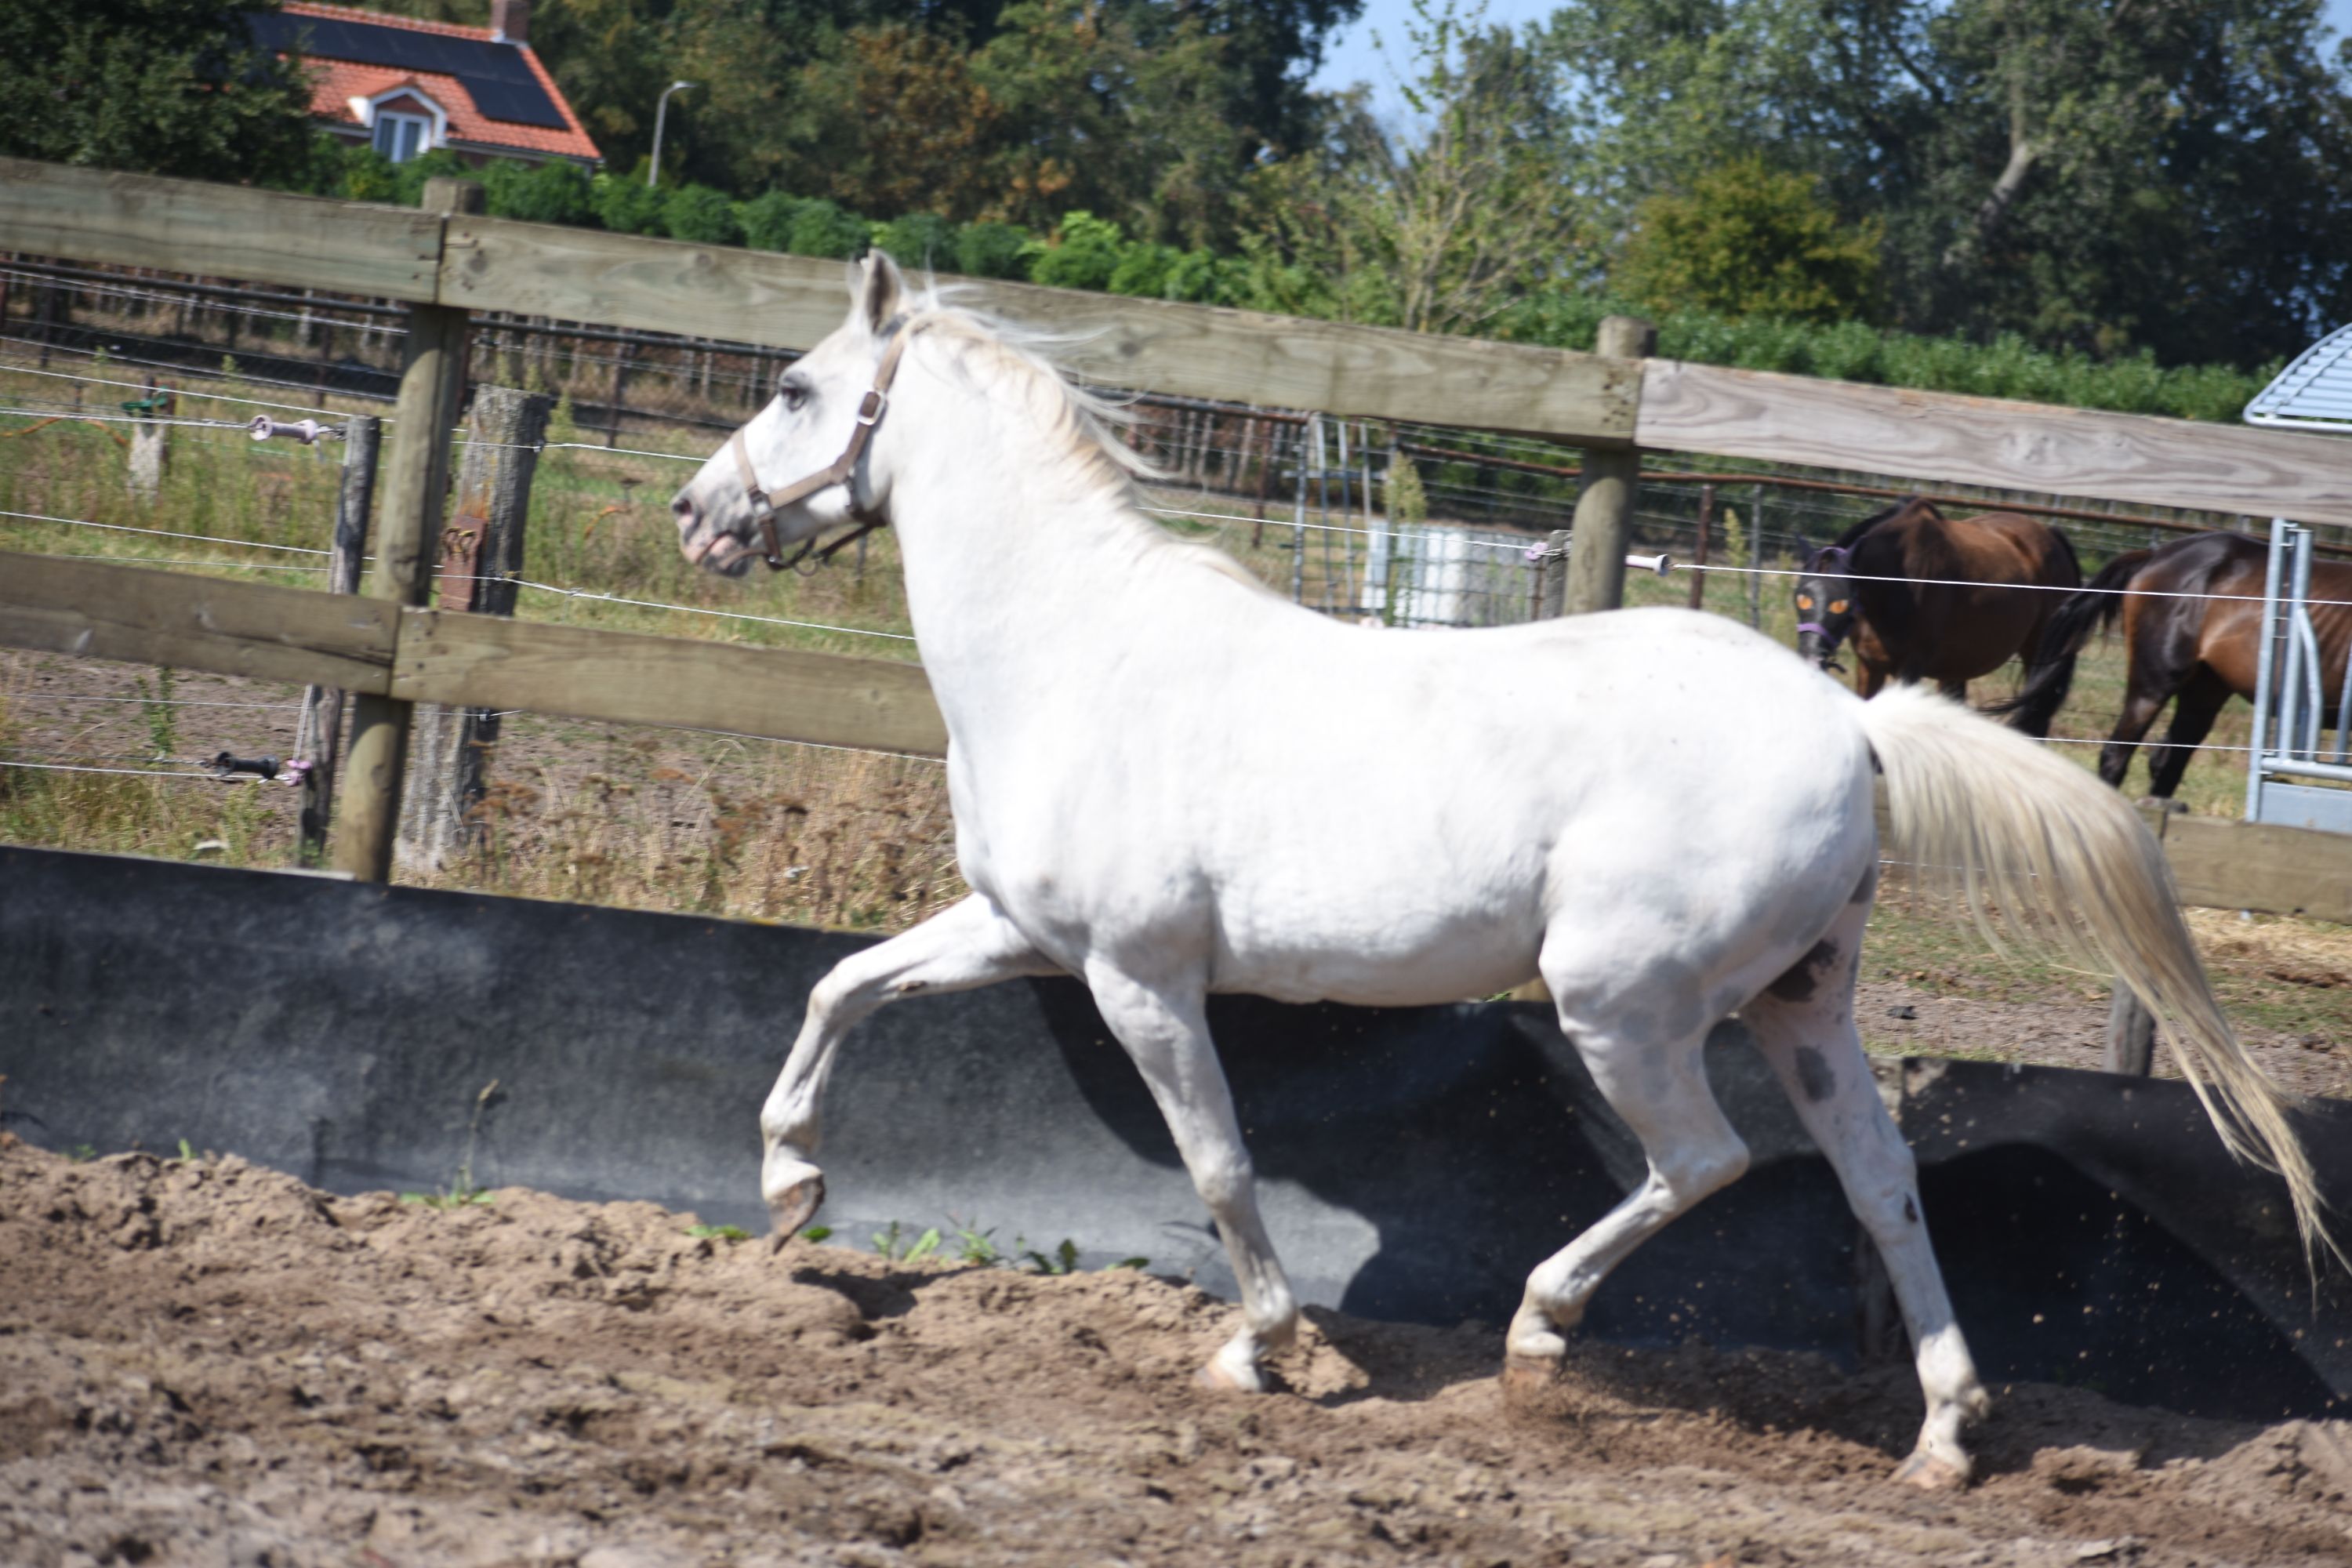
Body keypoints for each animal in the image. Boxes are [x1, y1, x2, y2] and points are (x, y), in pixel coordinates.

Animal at [1794, 497, 2083, 737]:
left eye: (1841, 604)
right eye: (1799, 598)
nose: (1810, 661)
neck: (1896, 582)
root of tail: (2053, 536)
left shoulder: (1910, 668)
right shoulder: (1869, 665)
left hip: (2039, 657)